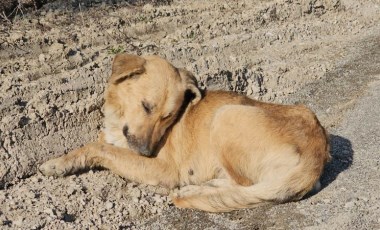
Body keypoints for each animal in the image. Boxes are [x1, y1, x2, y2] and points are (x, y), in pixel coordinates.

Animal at [38, 54, 330, 212]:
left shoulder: (162, 168)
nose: (146, 152)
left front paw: (57, 164)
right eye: (147, 106)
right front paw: (64, 161)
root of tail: (317, 149)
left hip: (226, 116)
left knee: (246, 185)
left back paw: (194, 191)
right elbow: (97, 145)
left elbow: (98, 148)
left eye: (168, 116)